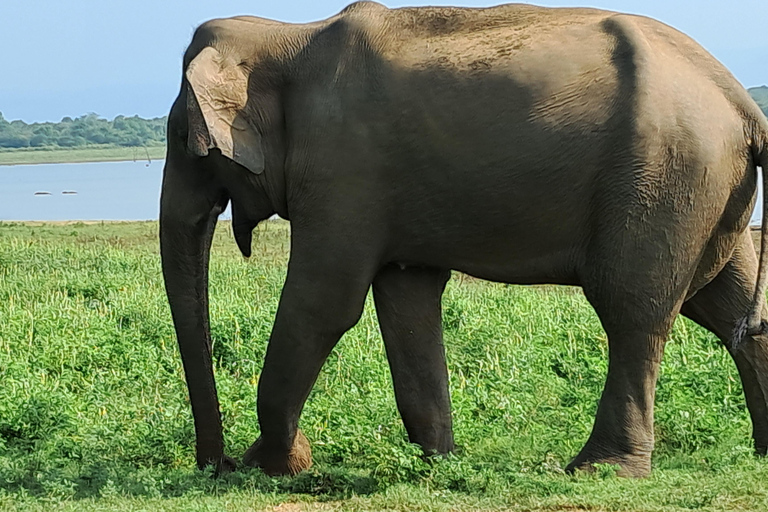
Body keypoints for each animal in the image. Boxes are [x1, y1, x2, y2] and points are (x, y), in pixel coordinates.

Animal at [160, 1, 768, 480]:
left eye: (183, 137)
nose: (217, 465)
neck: (287, 35)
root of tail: (745, 105)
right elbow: (406, 300)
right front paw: (439, 462)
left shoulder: (343, 169)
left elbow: (324, 303)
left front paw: (279, 465)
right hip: (704, 189)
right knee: (724, 302)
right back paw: (760, 453)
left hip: (663, 179)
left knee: (633, 312)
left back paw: (600, 470)